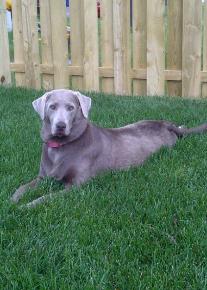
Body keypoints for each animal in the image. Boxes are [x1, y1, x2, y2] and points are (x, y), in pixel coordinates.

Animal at [10, 89, 207, 207]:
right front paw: (13, 199)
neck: (60, 147)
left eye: (71, 108)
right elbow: (23, 186)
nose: (60, 125)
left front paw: (26, 206)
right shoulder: (43, 177)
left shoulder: (76, 185)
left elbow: (47, 197)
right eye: (52, 107)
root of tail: (164, 123)